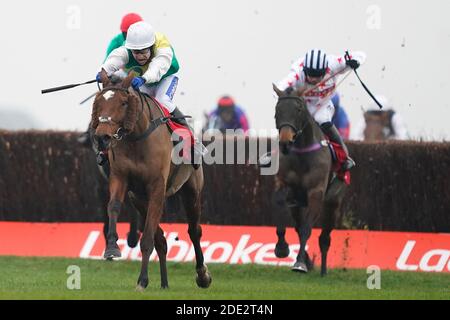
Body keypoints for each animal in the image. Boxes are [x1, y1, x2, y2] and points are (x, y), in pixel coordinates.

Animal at [91, 71, 213, 292]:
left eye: (123, 103)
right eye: (99, 102)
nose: (102, 136)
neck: (137, 138)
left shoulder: (157, 187)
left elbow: (147, 239)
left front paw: (142, 280)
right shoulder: (121, 178)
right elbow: (113, 206)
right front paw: (112, 248)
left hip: (191, 190)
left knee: (194, 231)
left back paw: (202, 275)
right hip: (140, 200)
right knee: (162, 239)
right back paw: (164, 283)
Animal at [270, 84, 348, 276]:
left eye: (298, 109)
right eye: (277, 110)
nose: (285, 142)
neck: (302, 155)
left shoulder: (316, 192)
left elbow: (307, 228)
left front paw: (299, 263)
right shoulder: (284, 186)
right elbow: (281, 207)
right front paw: (282, 247)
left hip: (333, 203)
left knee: (325, 237)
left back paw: (323, 271)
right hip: (298, 204)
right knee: (299, 226)